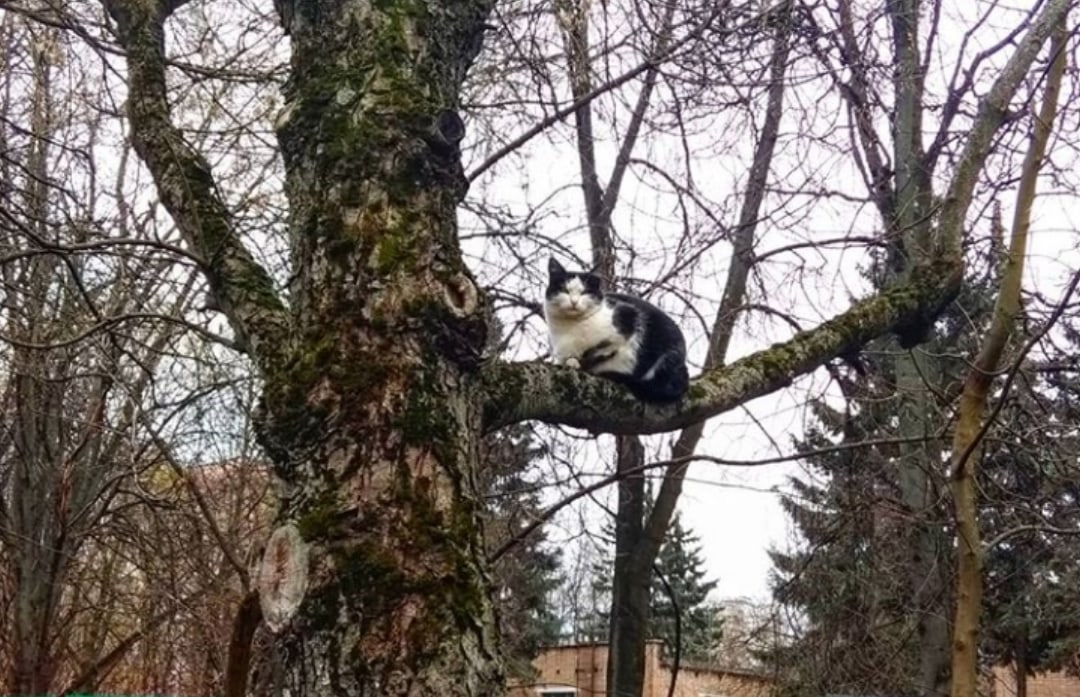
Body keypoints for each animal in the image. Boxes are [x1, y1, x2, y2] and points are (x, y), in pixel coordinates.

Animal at [544, 257, 686, 401]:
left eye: (585, 292)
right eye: (564, 290)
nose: (574, 301)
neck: (572, 327)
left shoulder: (628, 316)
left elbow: (604, 350)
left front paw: (587, 360)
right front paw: (573, 361)